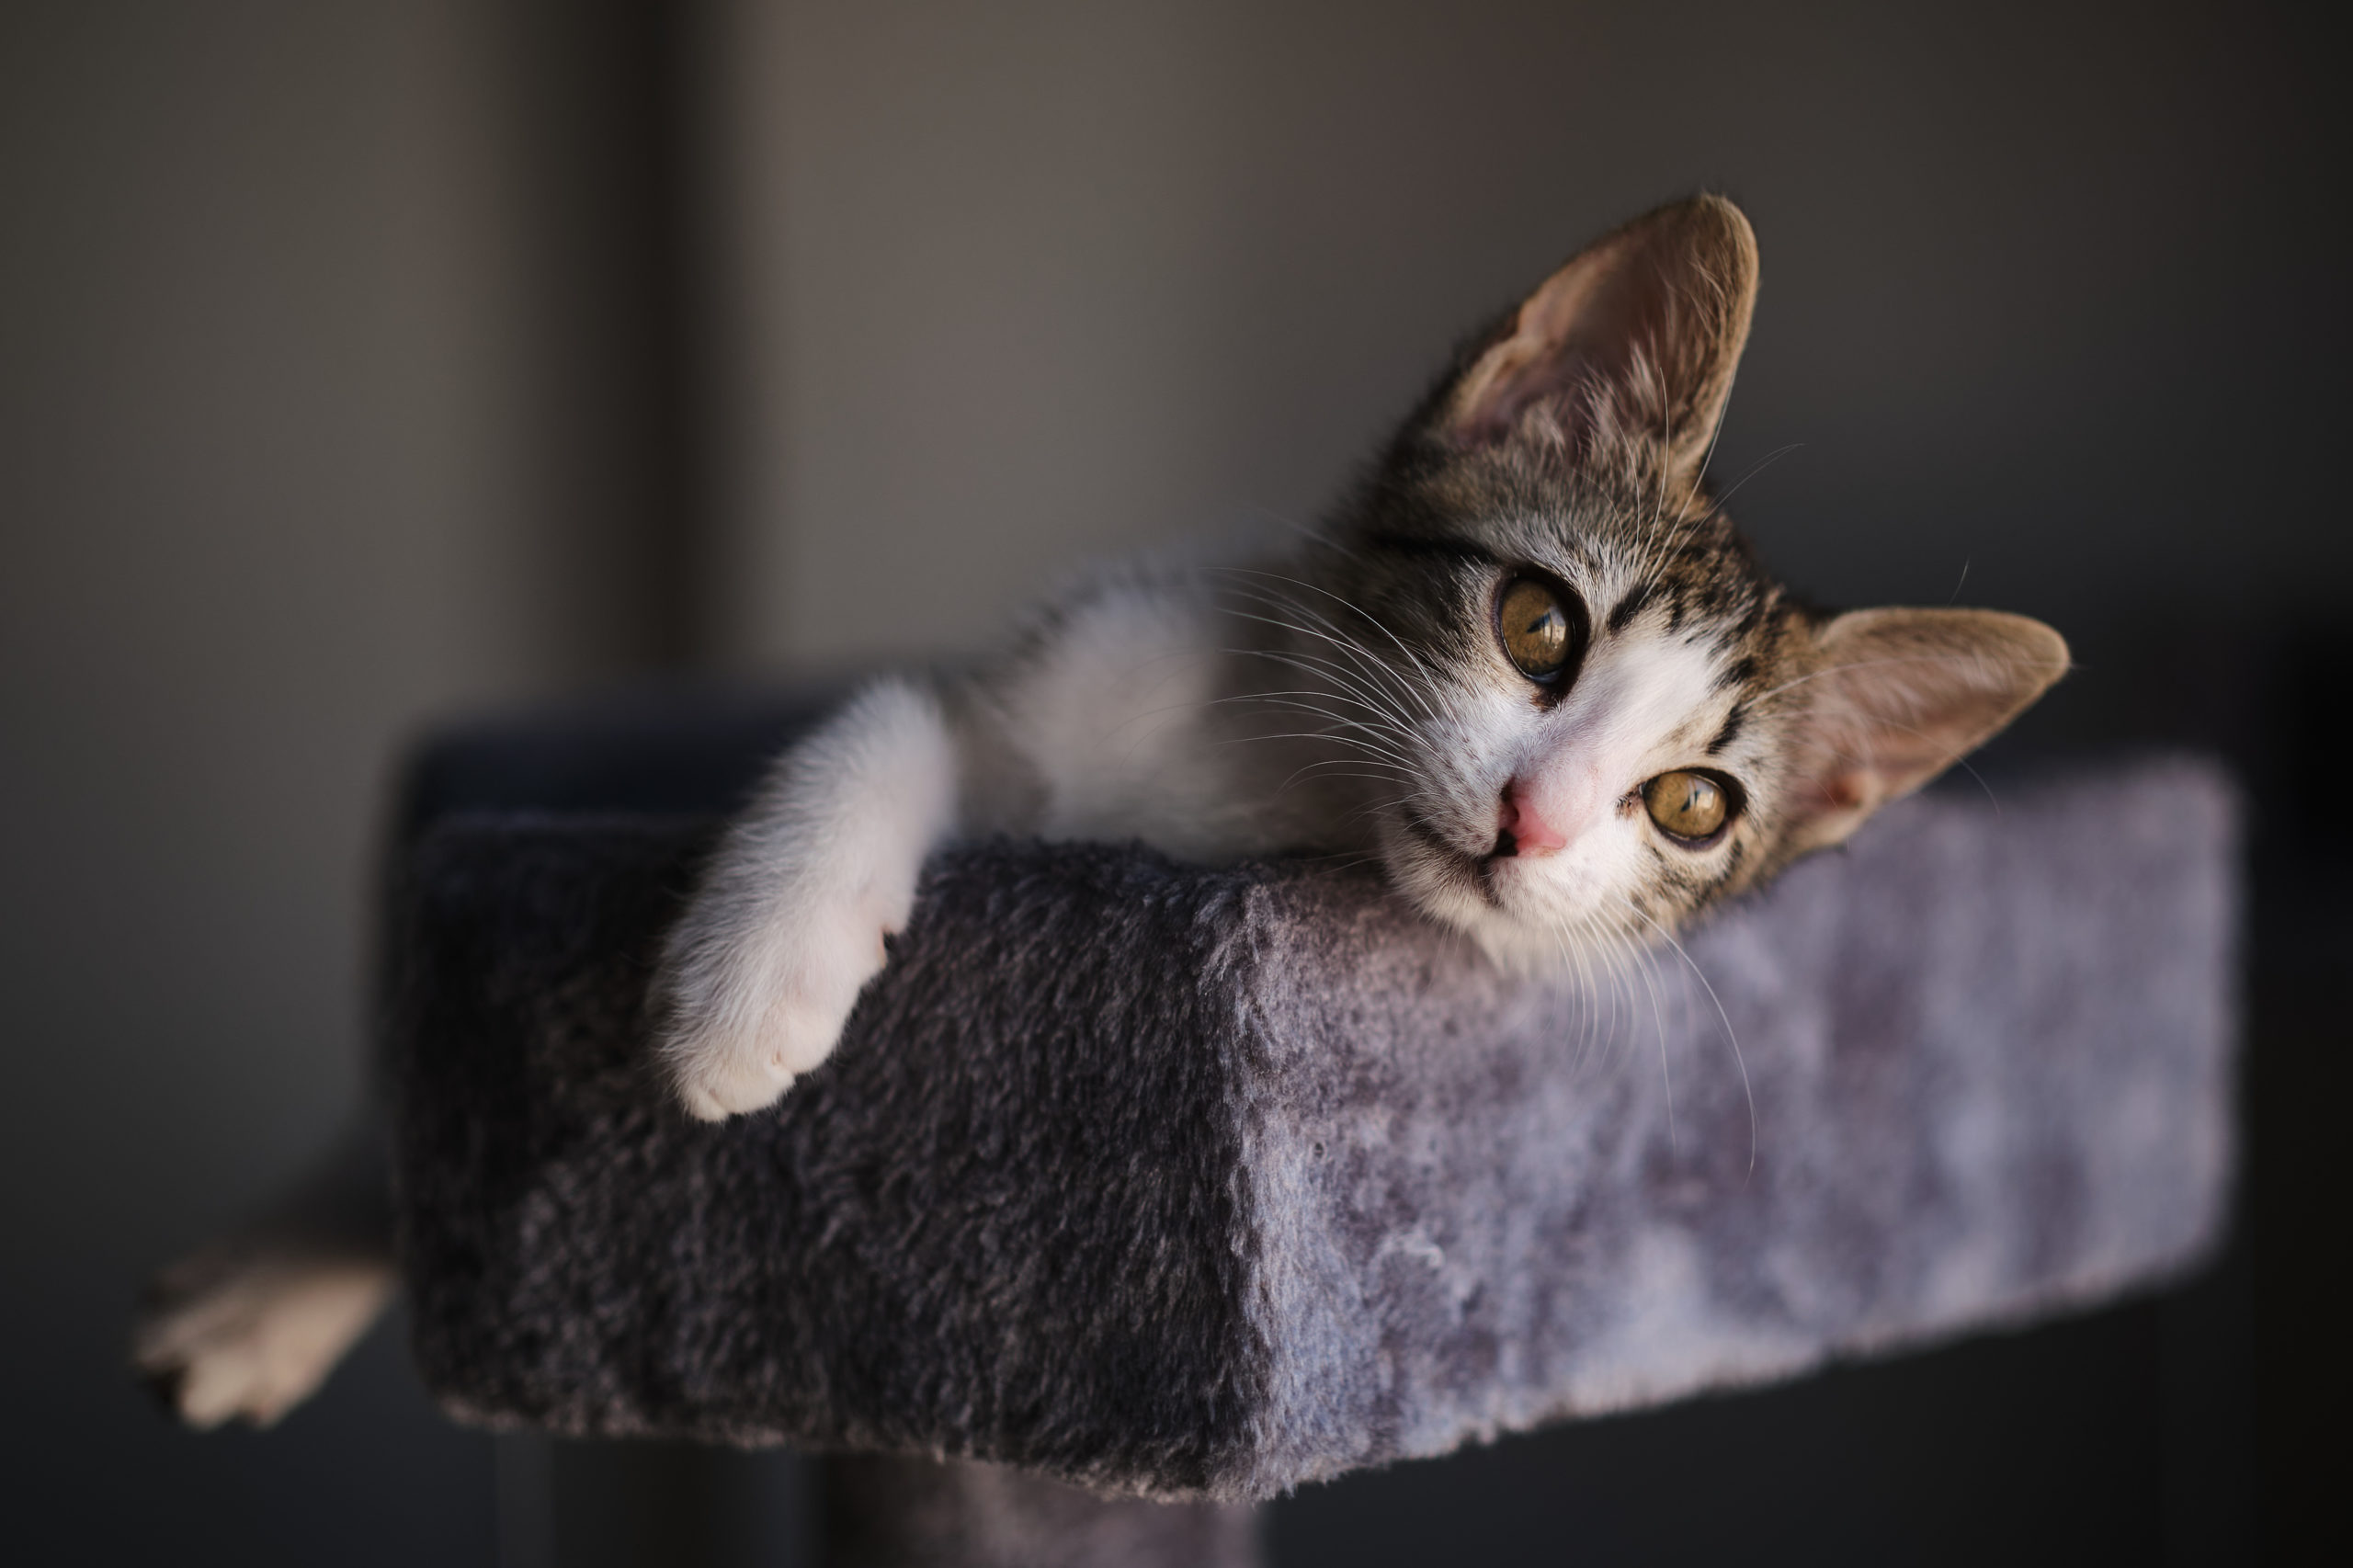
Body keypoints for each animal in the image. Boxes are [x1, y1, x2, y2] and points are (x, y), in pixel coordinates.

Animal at [137, 191, 2070, 1412]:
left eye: (1688, 810)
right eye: (1539, 626)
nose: (1534, 825)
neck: (1281, 774)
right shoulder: (1045, 679)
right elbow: (884, 726)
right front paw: (749, 980)